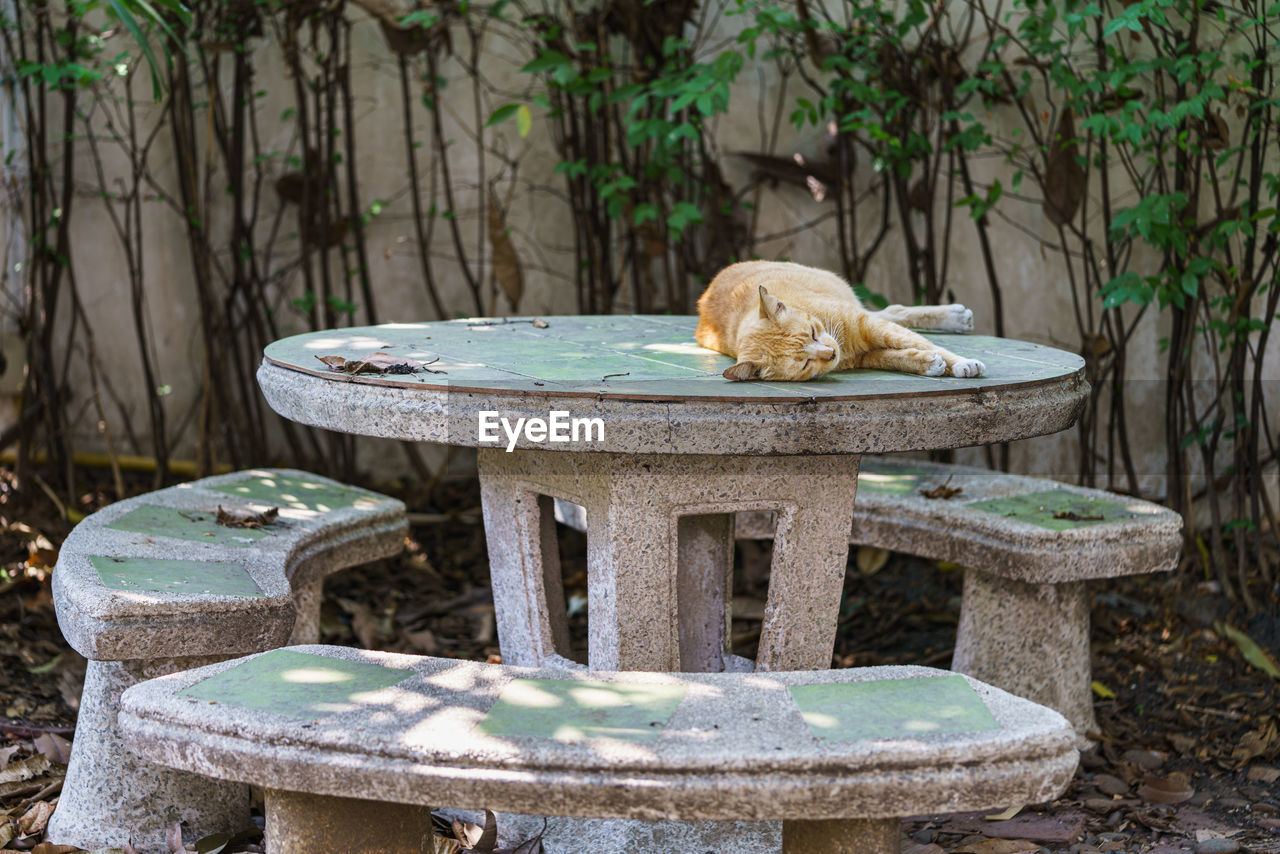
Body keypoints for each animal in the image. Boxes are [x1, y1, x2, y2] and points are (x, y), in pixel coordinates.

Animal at [696, 261, 983, 381]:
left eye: (813, 332)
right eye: (805, 364)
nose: (831, 353)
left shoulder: (869, 325)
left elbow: (929, 345)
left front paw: (961, 363)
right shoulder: (867, 354)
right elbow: (899, 356)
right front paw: (927, 363)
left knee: (894, 311)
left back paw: (955, 317)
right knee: (893, 312)